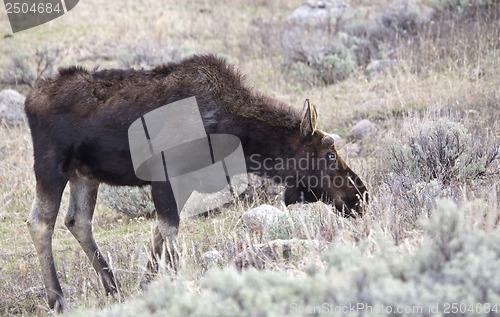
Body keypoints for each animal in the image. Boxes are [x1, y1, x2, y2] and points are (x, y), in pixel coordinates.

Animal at [24, 54, 368, 312]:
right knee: (41, 222)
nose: (360, 195)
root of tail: (30, 98)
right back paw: (58, 299)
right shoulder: (165, 173)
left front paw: (147, 286)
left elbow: (159, 233)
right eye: (331, 155)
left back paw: (113, 288)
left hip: (84, 173)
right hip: (51, 164)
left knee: (78, 220)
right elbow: (170, 232)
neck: (233, 129)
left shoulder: (182, 180)